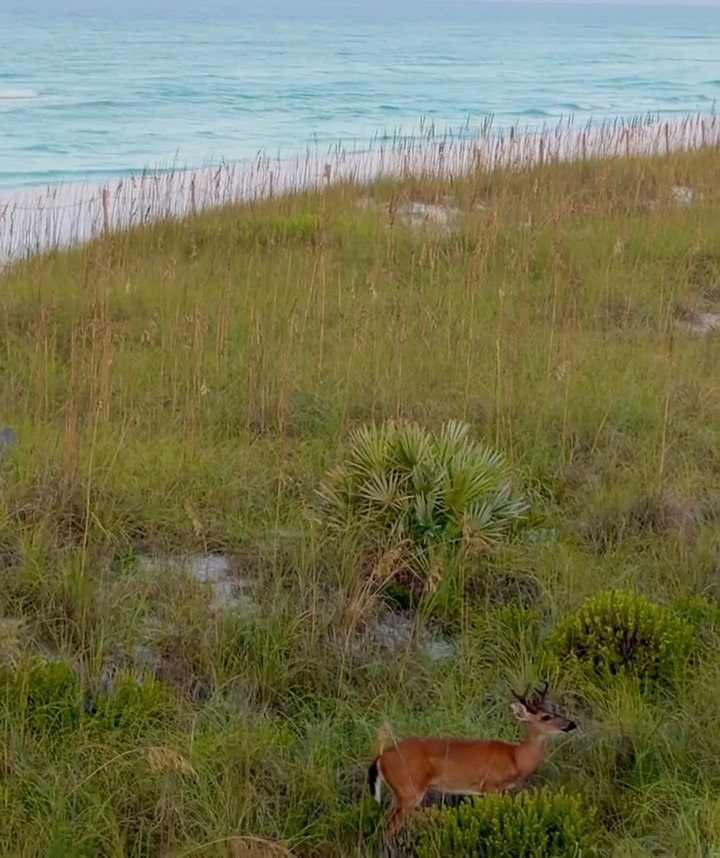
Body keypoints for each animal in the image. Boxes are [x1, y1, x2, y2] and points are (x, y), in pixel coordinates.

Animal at [367, 682, 577, 845]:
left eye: (554, 710)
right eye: (545, 717)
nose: (571, 724)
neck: (515, 757)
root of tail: (380, 758)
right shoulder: (490, 786)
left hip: (400, 794)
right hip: (409, 790)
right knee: (389, 827)